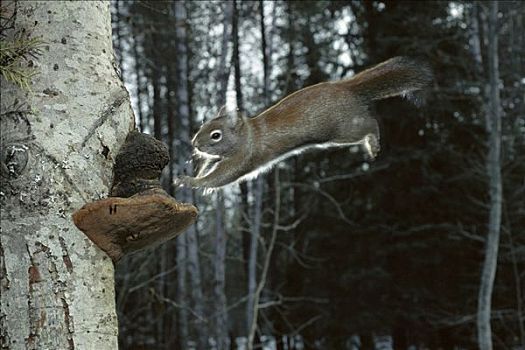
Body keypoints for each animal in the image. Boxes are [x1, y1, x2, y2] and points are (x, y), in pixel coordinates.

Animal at [174, 57, 432, 189]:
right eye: (201, 127)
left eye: (215, 135)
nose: (195, 144)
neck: (248, 134)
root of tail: (347, 88)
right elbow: (210, 166)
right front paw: (190, 171)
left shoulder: (244, 157)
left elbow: (222, 176)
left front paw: (191, 182)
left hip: (344, 129)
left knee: (370, 124)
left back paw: (373, 144)